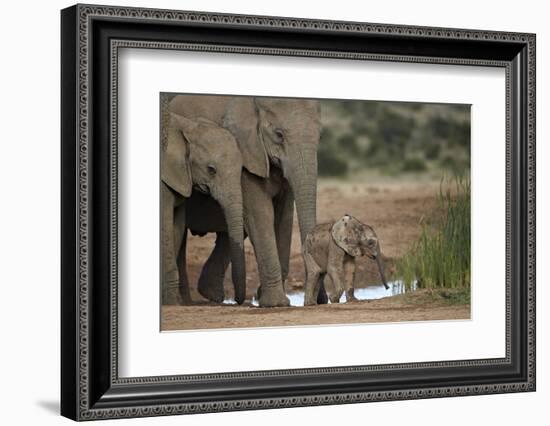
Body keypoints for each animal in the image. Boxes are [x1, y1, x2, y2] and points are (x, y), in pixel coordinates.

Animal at [160, 111, 246, 304]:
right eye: (211, 169)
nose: (238, 301)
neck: (188, 127)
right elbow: (166, 227)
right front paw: (172, 303)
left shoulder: (180, 177)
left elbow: (176, 228)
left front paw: (169, 301)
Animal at [170, 94, 322, 306]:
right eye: (279, 134)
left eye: (320, 135)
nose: (320, 300)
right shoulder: (247, 155)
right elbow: (261, 215)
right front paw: (276, 304)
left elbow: (284, 217)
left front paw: (267, 298)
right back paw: (186, 302)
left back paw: (210, 295)